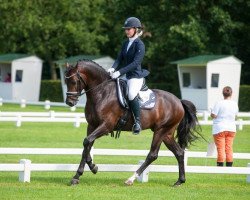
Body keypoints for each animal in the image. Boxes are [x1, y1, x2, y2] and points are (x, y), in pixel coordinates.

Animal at [65, 59, 201, 186]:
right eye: (66, 82)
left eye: (74, 82)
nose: (69, 102)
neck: (102, 92)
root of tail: (179, 101)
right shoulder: (92, 125)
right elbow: (87, 145)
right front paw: (88, 170)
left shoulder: (106, 126)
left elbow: (87, 142)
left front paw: (81, 173)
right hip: (167, 133)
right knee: (179, 152)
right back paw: (180, 181)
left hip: (161, 130)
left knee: (152, 154)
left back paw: (131, 179)